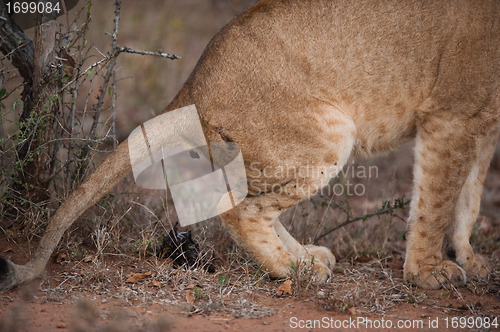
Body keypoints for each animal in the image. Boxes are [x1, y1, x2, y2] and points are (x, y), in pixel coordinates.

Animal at [0, 0, 500, 290]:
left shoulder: (484, 123)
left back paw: (304, 259)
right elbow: (436, 201)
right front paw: (428, 273)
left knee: (253, 204)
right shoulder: (451, 113)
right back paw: (293, 271)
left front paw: (469, 258)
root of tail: (197, 84)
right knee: (238, 209)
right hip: (330, 133)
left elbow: (469, 198)